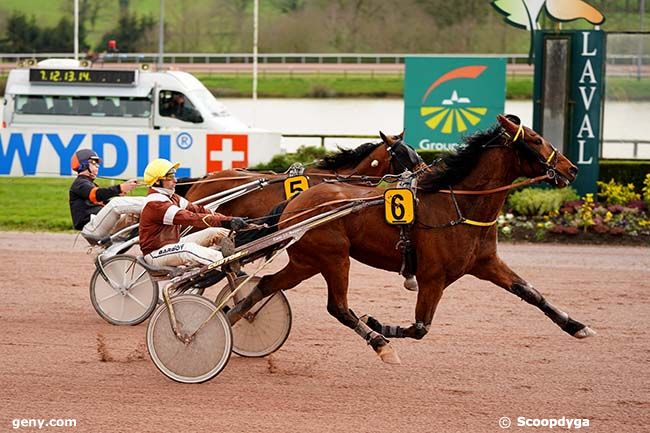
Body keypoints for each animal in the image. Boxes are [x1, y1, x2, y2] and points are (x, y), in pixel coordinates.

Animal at [227, 114, 592, 362]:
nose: (572, 169)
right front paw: (380, 325)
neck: (458, 204)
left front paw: (576, 325)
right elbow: (420, 327)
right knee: (338, 307)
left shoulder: (485, 262)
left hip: (307, 261)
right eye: (535, 140)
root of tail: (295, 203)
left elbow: (530, 292)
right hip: (333, 257)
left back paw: (232, 318)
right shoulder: (433, 276)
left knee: (267, 285)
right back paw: (380, 343)